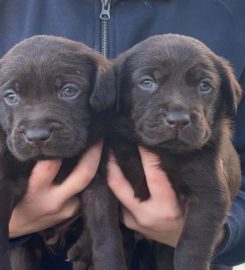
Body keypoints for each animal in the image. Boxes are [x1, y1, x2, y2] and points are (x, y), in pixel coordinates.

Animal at [91, 34, 241, 270]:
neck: (162, 151)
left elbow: (192, 246)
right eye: (147, 82)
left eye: (204, 86)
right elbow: (106, 235)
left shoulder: (209, 195)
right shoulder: (103, 184)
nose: (178, 120)